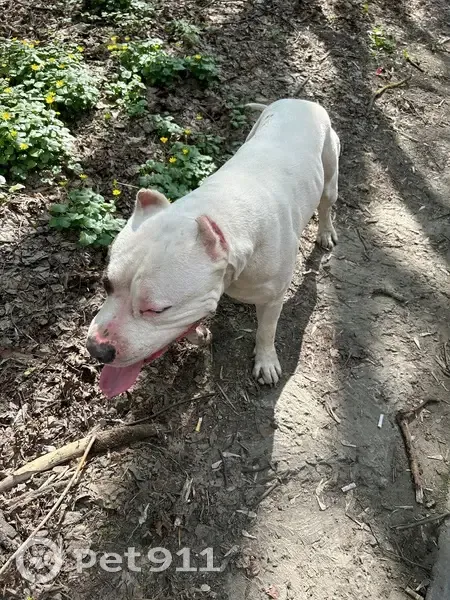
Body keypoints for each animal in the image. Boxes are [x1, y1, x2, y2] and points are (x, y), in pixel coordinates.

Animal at [86, 99, 340, 397]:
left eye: (157, 310)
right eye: (106, 284)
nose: (96, 349)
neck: (219, 209)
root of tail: (302, 101)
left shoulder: (273, 298)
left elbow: (266, 331)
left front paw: (266, 361)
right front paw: (198, 335)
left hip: (329, 174)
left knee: (326, 205)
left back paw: (325, 232)